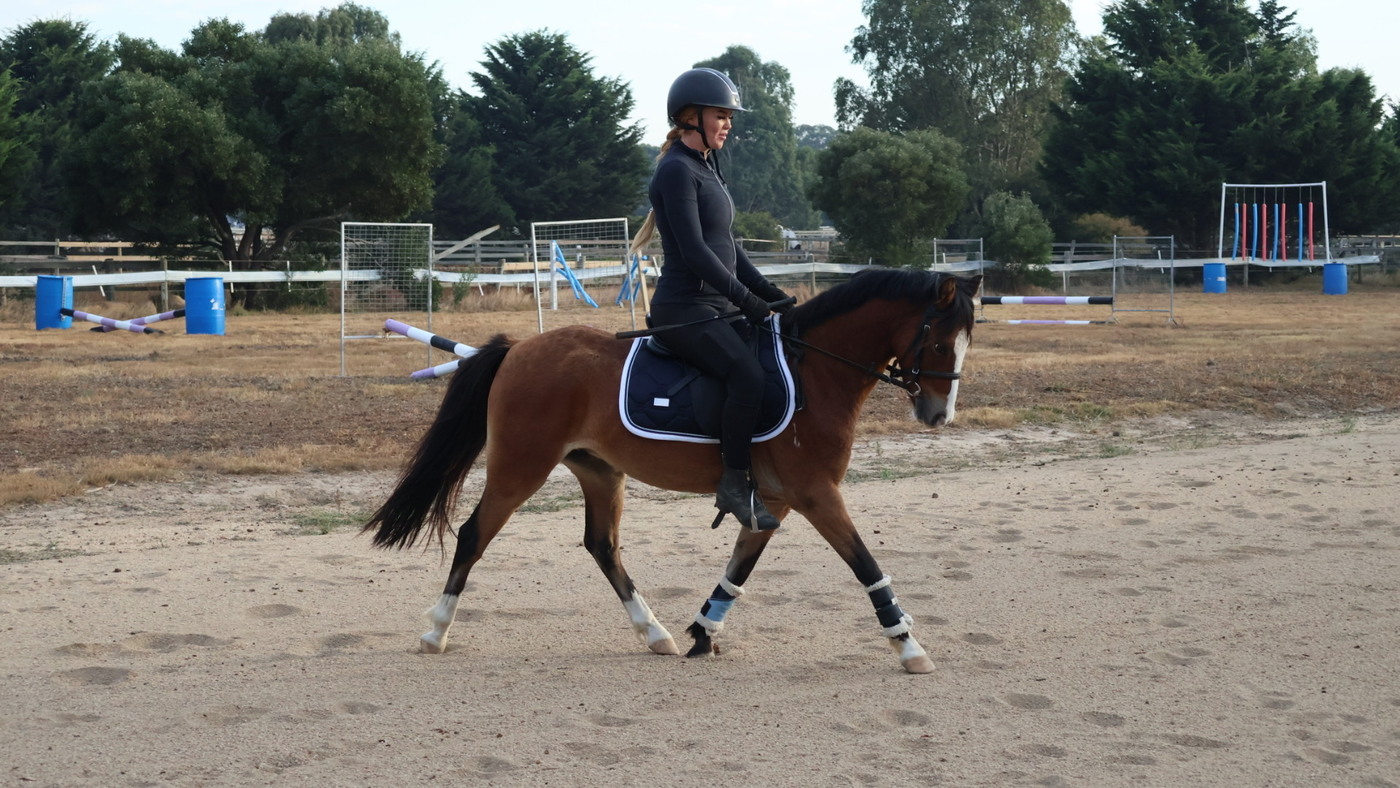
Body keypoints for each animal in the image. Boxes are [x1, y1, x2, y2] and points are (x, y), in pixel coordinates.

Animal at [364, 268, 982, 673]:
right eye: (941, 342)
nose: (939, 415)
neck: (815, 370)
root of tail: (519, 349)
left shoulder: (775, 500)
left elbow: (739, 568)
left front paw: (703, 633)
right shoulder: (816, 494)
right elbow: (866, 565)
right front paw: (908, 646)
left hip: (600, 472)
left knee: (602, 546)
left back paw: (655, 633)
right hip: (521, 467)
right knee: (474, 535)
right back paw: (435, 632)